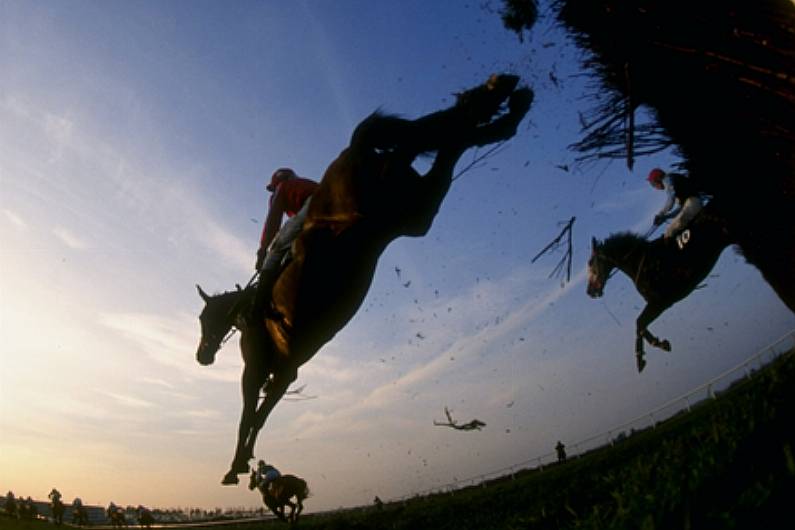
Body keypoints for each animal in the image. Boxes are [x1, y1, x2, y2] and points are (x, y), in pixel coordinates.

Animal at [197, 72, 536, 480]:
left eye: (203, 319)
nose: (201, 357)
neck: (247, 312)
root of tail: (354, 152)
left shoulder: (256, 371)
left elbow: (249, 415)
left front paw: (235, 466)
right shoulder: (286, 371)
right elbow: (262, 415)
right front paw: (246, 460)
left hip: (385, 200)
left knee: (433, 135)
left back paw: (495, 96)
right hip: (412, 209)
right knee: (446, 138)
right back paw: (504, 103)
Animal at [584, 199, 732, 372]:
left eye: (591, 263)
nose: (590, 291)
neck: (643, 262)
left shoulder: (660, 303)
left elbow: (639, 323)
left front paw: (647, 353)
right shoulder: (657, 304)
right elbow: (640, 325)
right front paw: (652, 349)